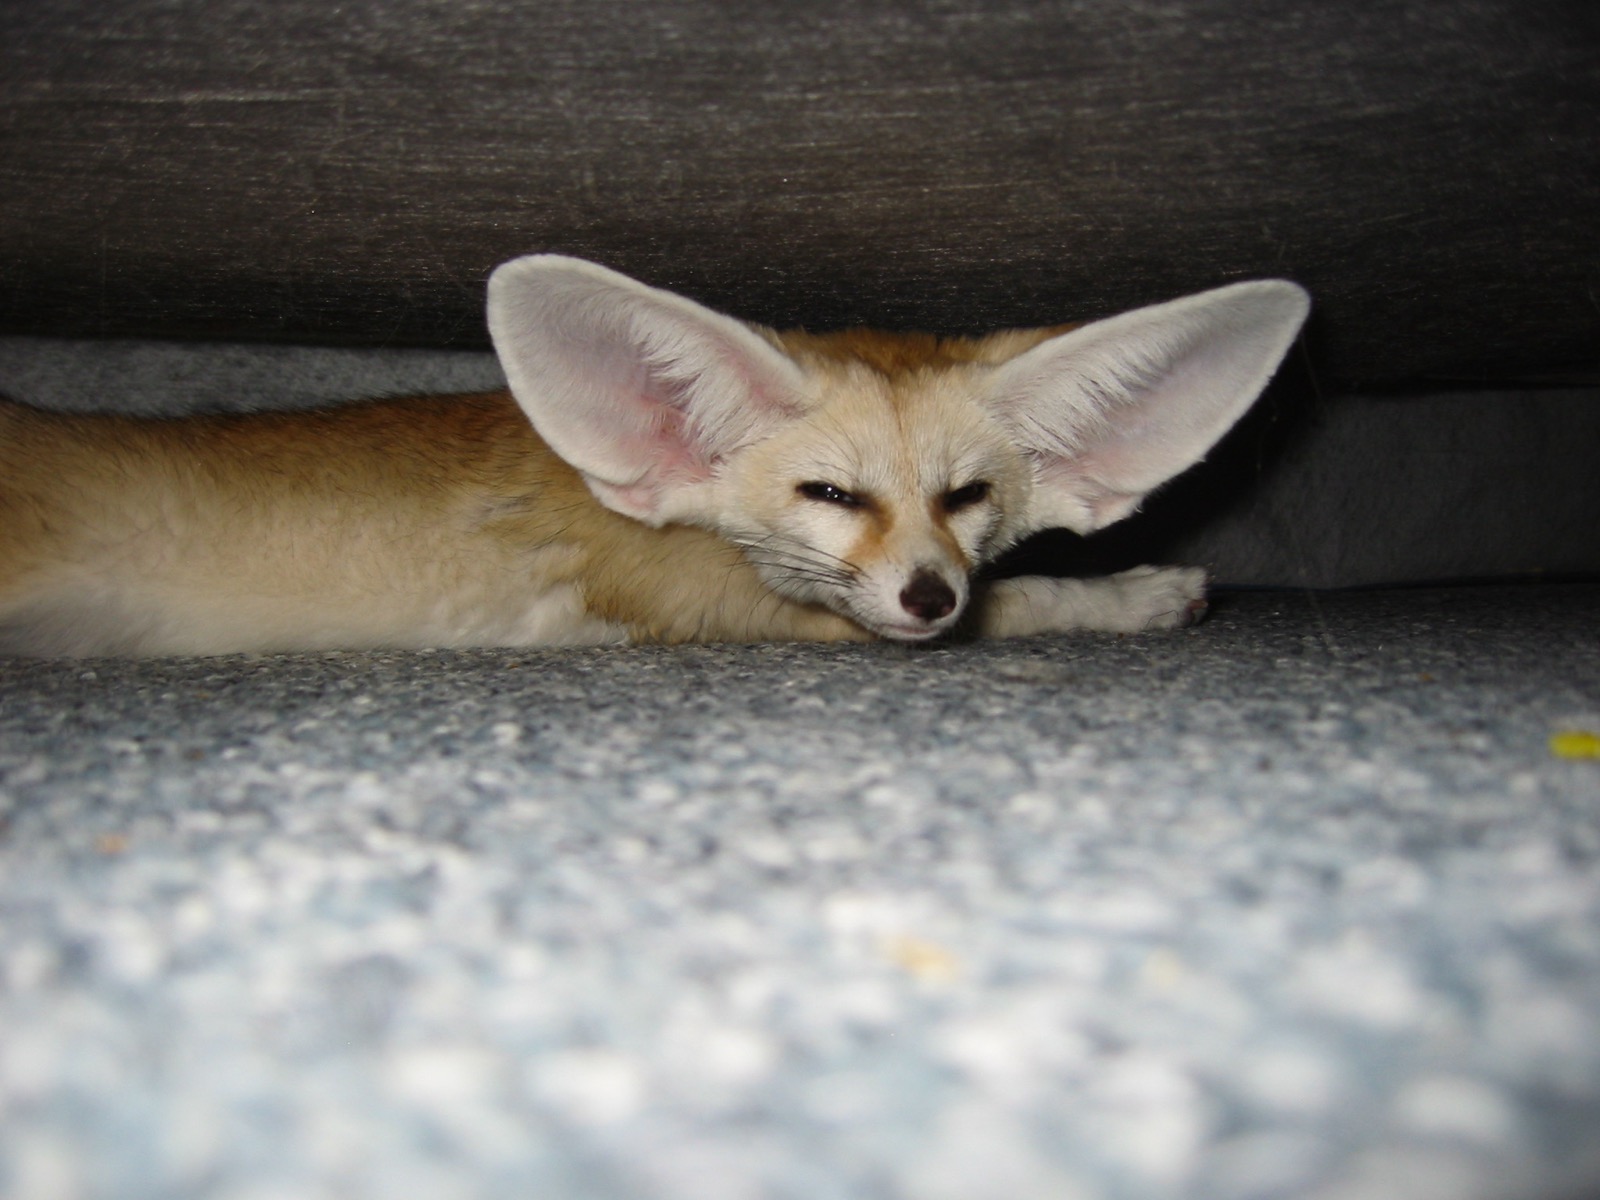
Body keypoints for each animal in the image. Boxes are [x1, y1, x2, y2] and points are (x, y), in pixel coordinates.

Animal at [0, 256, 1308, 657]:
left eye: (966, 496)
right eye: (829, 494)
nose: (928, 594)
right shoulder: (721, 605)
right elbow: (1025, 598)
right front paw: (1132, 593)